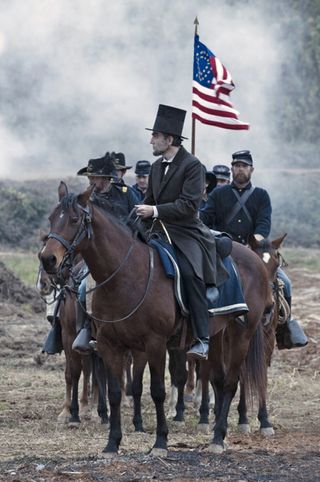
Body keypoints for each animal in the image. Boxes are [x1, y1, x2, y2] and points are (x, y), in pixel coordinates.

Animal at [40, 184, 274, 456]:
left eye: (75, 219)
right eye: (52, 218)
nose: (47, 259)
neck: (127, 274)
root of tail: (254, 259)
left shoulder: (154, 344)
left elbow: (157, 391)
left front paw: (161, 441)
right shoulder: (110, 345)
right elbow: (115, 392)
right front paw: (112, 443)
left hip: (241, 334)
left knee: (231, 382)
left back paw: (219, 438)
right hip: (217, 334)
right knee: (218, 377)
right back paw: (215, 428)